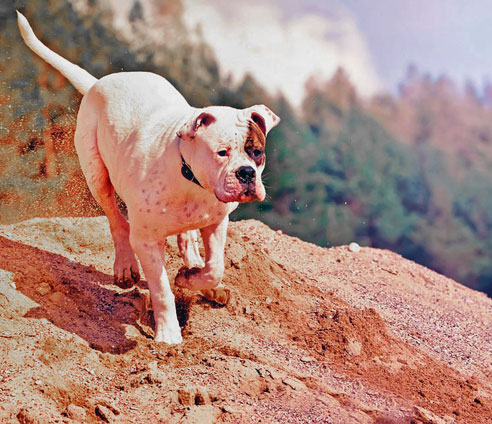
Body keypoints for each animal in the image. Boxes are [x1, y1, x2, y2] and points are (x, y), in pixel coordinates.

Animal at [17, 12, 278, 344]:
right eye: (222, 152)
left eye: (256, 152)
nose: (246, 173)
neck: (191, 180)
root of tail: (99, 82)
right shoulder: (147, 241)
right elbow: (162, 289)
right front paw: (168, 334)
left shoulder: (217, 221)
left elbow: (215, 266)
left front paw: (193, 278)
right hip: (95, 171)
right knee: (116, 220)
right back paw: (126, 266)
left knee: (185, 239)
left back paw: (196, 269)